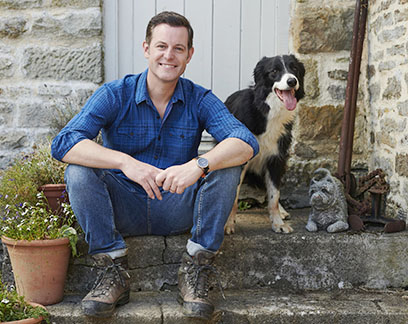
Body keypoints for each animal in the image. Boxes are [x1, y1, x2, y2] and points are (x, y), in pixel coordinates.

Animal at [225, 54, 304, 234]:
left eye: (294, 68)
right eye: (274, 71)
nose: (292, 81)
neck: (269, 110)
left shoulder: (276, 158)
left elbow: (274, 194)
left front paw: (278, 223)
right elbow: (233, 195)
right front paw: (228, 224)